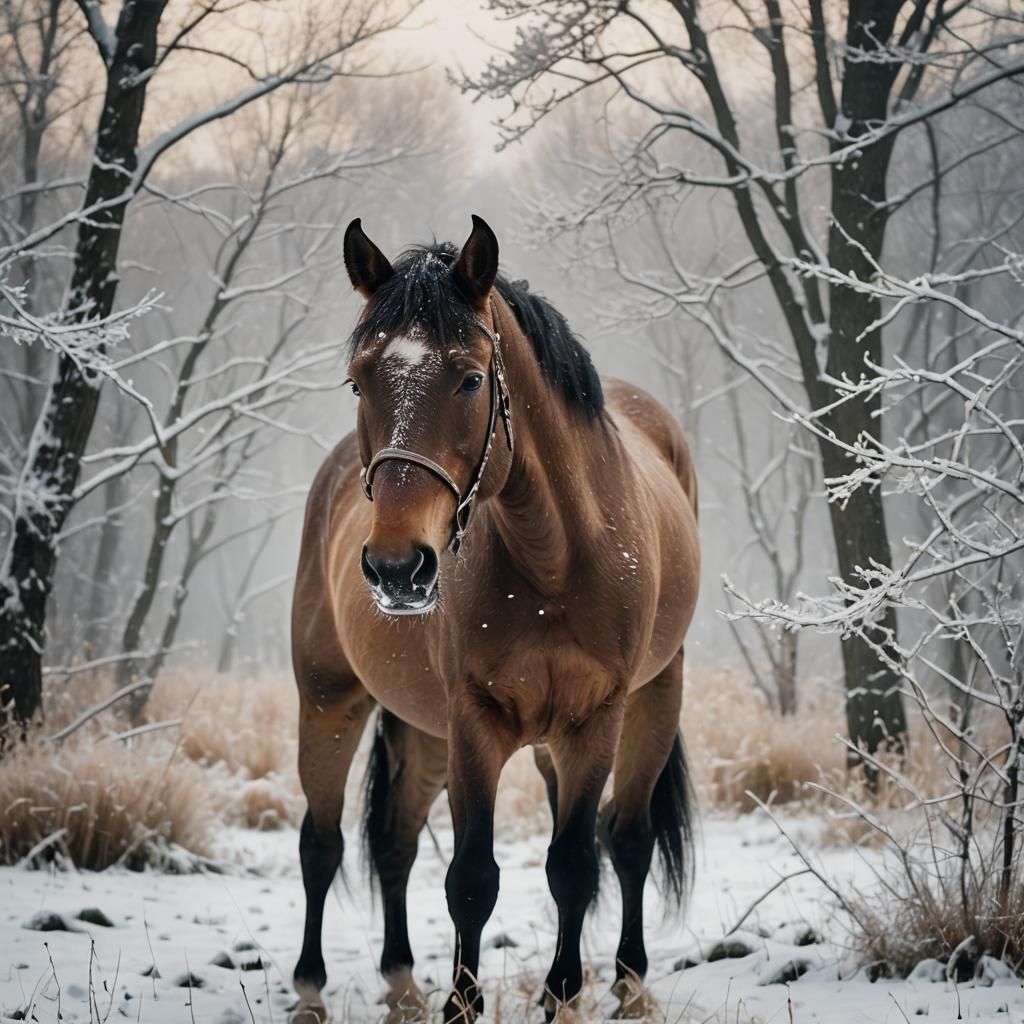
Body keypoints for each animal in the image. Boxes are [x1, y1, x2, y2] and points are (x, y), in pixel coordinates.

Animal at [290, 215, 700, 1024]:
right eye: (358, 380)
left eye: (472, 377)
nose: (396, 569)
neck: (555, 560)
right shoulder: (471, 723)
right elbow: (471, 878)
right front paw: (463, 1004)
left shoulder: (594, 720)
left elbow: (573, 863)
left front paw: (563, 996)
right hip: (332, 701)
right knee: (326, 845)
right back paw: (321, 991)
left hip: (647, 699)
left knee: (624, 839)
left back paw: (627, 983)